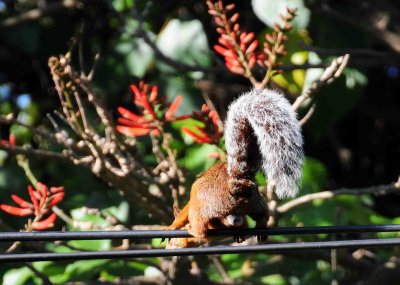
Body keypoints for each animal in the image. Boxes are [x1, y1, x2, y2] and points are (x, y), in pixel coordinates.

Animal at [166, 89, 304, 246]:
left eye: (172, 242)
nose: (169, 247)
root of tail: (236, 184)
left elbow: (183, 216)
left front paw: (172, 226)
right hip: (254, 201)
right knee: (262, 214)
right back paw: (260, 227)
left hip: (202, 206)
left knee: (199, 227)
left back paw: (193, 229)